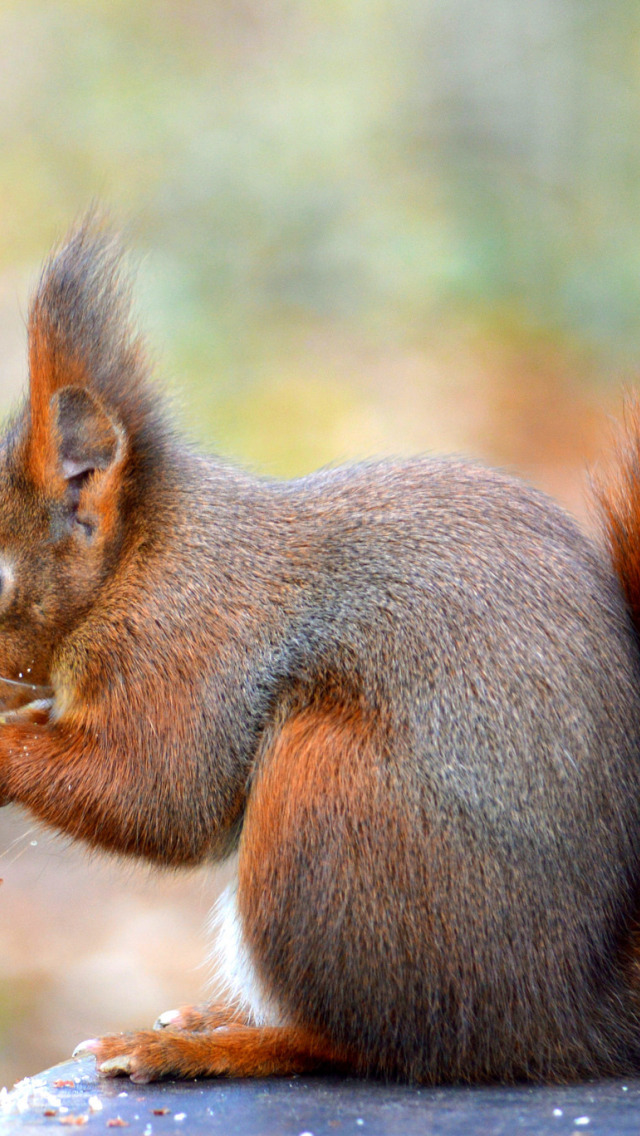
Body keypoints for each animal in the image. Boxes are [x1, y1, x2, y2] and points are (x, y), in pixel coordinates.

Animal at [2, 216, 640, 1086]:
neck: (141, 561)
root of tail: (567, 1014)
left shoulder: (188, 650)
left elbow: (158, 795)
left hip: (331, 805)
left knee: (361, 1041)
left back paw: (194, 1047)